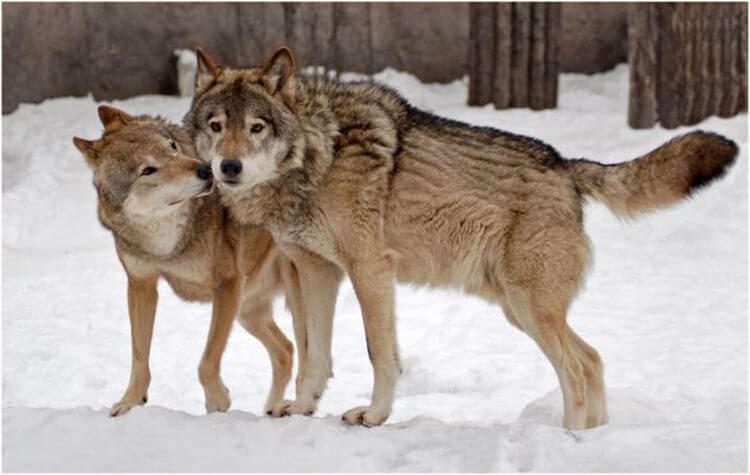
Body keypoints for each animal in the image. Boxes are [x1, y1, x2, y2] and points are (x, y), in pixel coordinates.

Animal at [74, 107, 300, 416]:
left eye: (172, 147)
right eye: (147, 170)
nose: (207, 169)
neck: (168, 245)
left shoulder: (227, 285)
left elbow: (206, 361)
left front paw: (217, 401)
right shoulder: (141, 285)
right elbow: (139, 358)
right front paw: (130, 402)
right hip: (247, 310)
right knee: (286, 351)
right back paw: (272, 408)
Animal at [188, 48, 740, 432]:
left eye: (257, 127)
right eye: (215, 126)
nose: (228, 167)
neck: (317, 155)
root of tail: (567, 165)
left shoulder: (370, 269)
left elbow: (378, 353)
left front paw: (374, 416)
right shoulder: (316, 271)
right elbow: (313, 355)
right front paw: (302, 410)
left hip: (529, 308)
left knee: (576, 371)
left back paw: (567, 440)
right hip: (518, 310)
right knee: (593, 359)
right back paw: (590, 439)